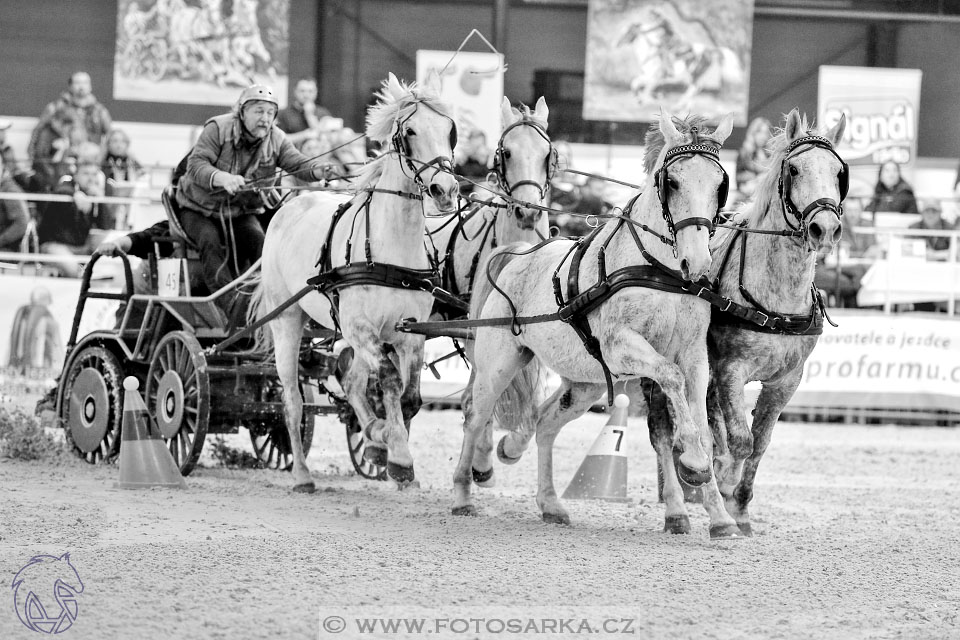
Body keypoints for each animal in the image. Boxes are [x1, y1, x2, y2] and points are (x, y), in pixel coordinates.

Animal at [251, 72, 462, 490]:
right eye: (409, 131)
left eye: (450, 130)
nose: (445, 190)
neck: (390, 245)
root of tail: (289, 204)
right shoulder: (361, 327)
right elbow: (390, 382)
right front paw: (397, 455)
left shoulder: (410, 332)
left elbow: (409, 397)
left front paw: (385, 446)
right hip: (288, 321)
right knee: (293, 399)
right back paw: (302, 474)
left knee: (350, 382)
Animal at [452, 110, 744, 536]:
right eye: (672, 182)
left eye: (720, 184)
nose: (699, 263)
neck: (660, 270)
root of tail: (519, 254)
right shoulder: (621, 346)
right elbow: (670, 377)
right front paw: (692, 463)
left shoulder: (694, 354)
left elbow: (703, 422)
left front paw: (720, 515)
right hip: (498, 364)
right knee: (475, 416)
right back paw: (463, 493)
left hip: (585, 382)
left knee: (545, 424)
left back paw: (548, 500)